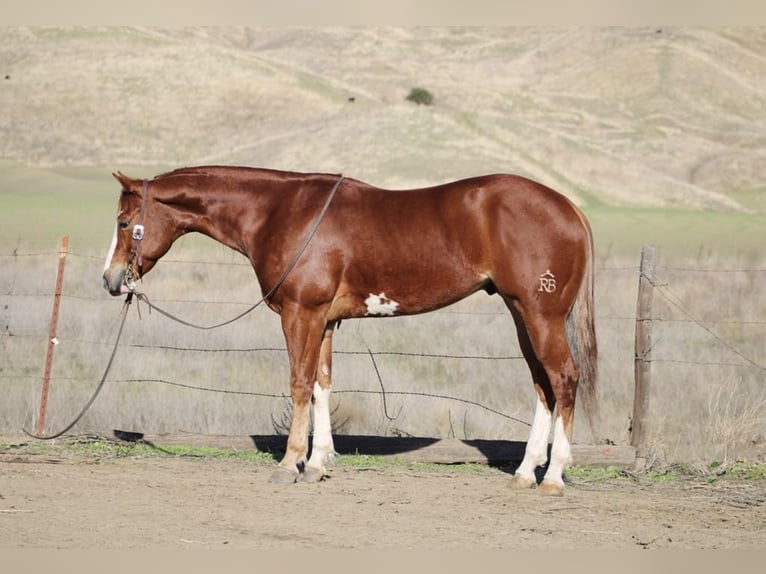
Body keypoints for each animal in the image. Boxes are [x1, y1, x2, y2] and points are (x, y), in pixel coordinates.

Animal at [102, 165, 598, 495]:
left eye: (124, 222)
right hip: (521, 314)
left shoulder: (300, 314)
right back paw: (526, 471)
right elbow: (323, 385)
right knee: (543, 385)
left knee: (564, 379)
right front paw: (317, 463)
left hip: (540, 315)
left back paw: (553, 476)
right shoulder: (324, 320)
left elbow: (300, 384)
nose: (110, 279)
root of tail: (569, 208)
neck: (281, 213)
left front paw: (289, 463)